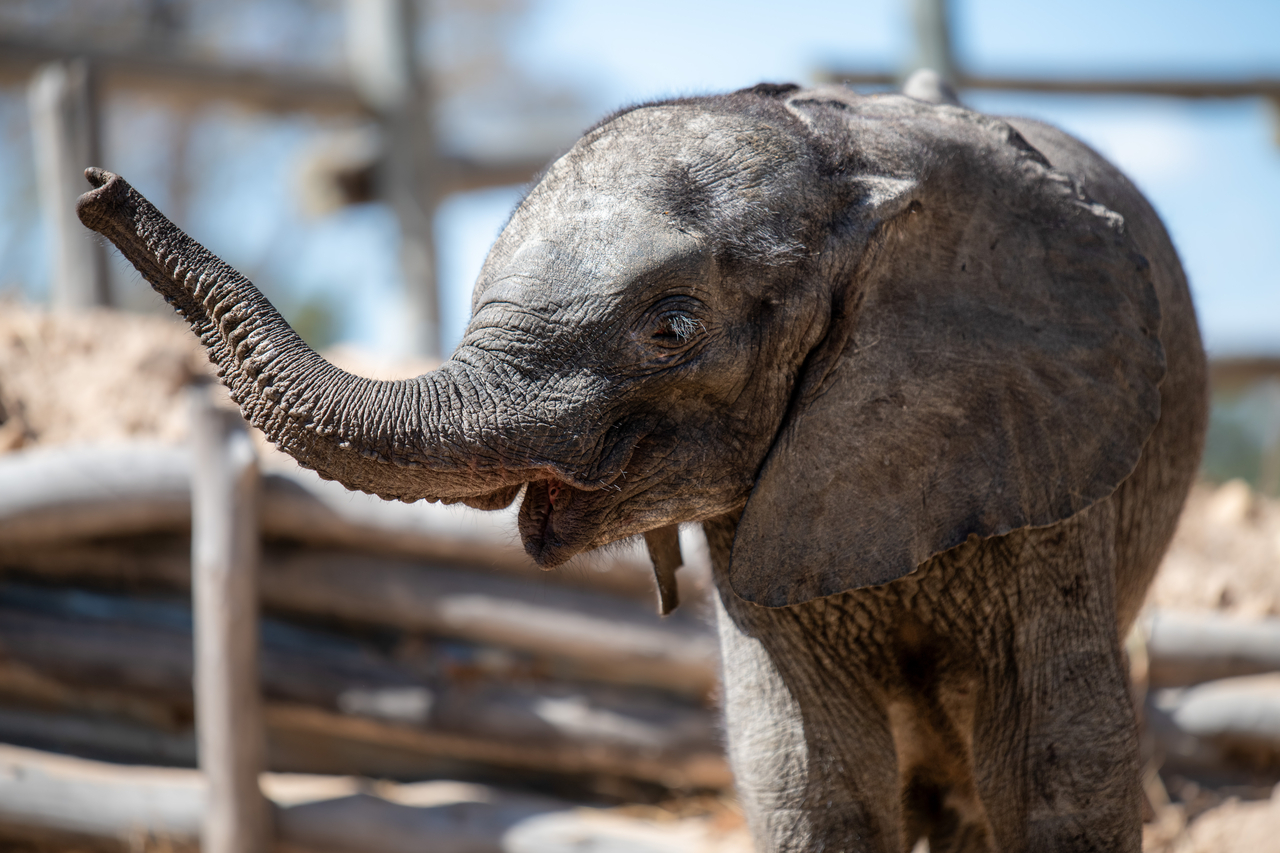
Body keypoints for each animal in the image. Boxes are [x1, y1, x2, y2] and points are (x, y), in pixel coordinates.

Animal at [77, 74, 1206, 852]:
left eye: (671, 328)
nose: (96, 187)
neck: (838, 161)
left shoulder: (1046, 459)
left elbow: (1059, 760)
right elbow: (808, 770)